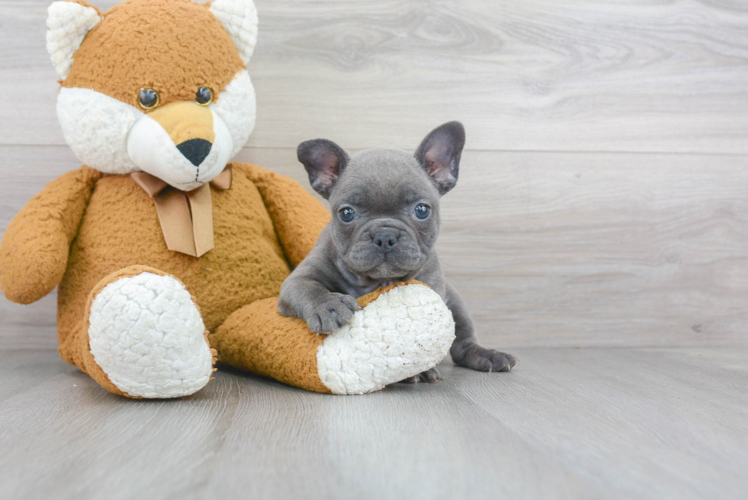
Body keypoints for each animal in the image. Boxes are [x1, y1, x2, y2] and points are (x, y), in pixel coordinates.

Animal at [278, 122, 516, 382]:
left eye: (422, 210)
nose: (385, 236)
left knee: (463, 344)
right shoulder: (298, 278)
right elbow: (308, 287)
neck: (375, 281)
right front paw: (328, 305)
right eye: (347, 213)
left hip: (458, 305)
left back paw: (486, 355)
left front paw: (420, 370)